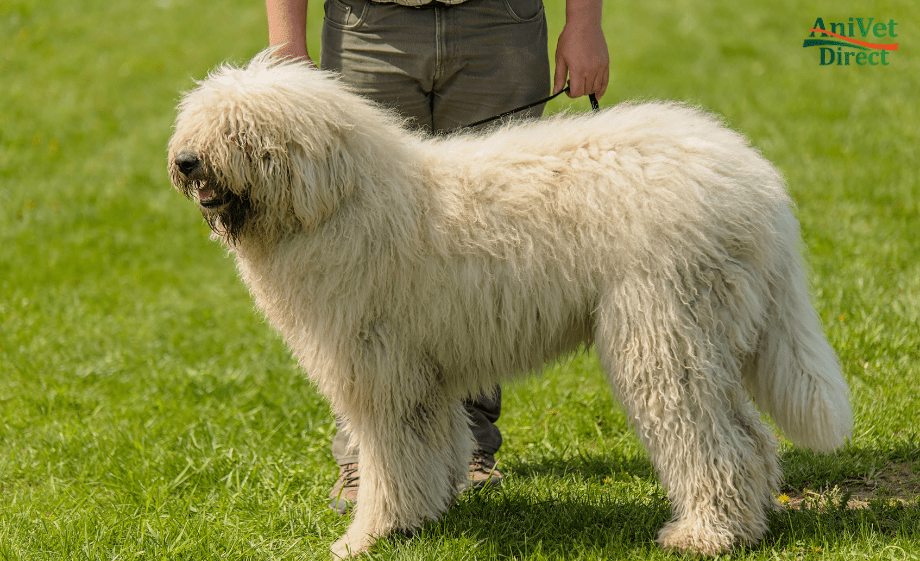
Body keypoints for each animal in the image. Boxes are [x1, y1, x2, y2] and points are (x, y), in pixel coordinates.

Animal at [167, 51, 856, 556]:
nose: (186, 160)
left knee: (714, 441)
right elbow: (424, 450)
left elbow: (389, 459)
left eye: (240, 131)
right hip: (710, 334)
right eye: (199, 121)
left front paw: (366, 536)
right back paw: (750, 521)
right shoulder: (419, 372)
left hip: (663, 332)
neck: (338, 200)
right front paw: (423, 516)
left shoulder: (379, 368)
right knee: (750, 437)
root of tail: (758, 186)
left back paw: (705, 535)